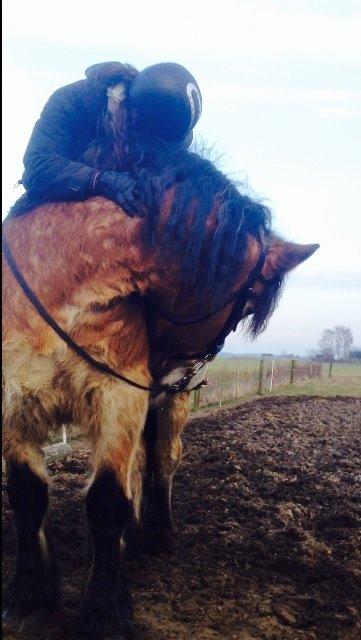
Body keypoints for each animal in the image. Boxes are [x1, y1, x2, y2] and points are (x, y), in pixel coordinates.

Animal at [2, 148, 318, 636]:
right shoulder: (15, 406)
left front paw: (105, 609)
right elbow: (27, 495)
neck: (58, 282)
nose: (175, 375)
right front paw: (31, 594)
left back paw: (158, 533)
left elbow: (107, 500)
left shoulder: (120, 400)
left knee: (164, 459)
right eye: (246, 304)